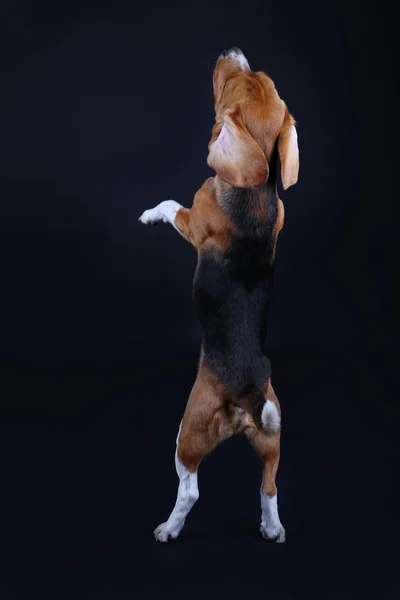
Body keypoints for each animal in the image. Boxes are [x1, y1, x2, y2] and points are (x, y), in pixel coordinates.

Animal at [139, 48, 298, 544]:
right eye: (256, 77)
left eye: (232, 83)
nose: (233, 52)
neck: (256, 186)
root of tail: (245, 394)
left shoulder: (193, 222)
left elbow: (173, 207)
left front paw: (150, 213)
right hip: (272, 433)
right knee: (270, 485)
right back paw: (272, 527)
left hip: (188, 432)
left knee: (190, 488)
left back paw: (168, 529)